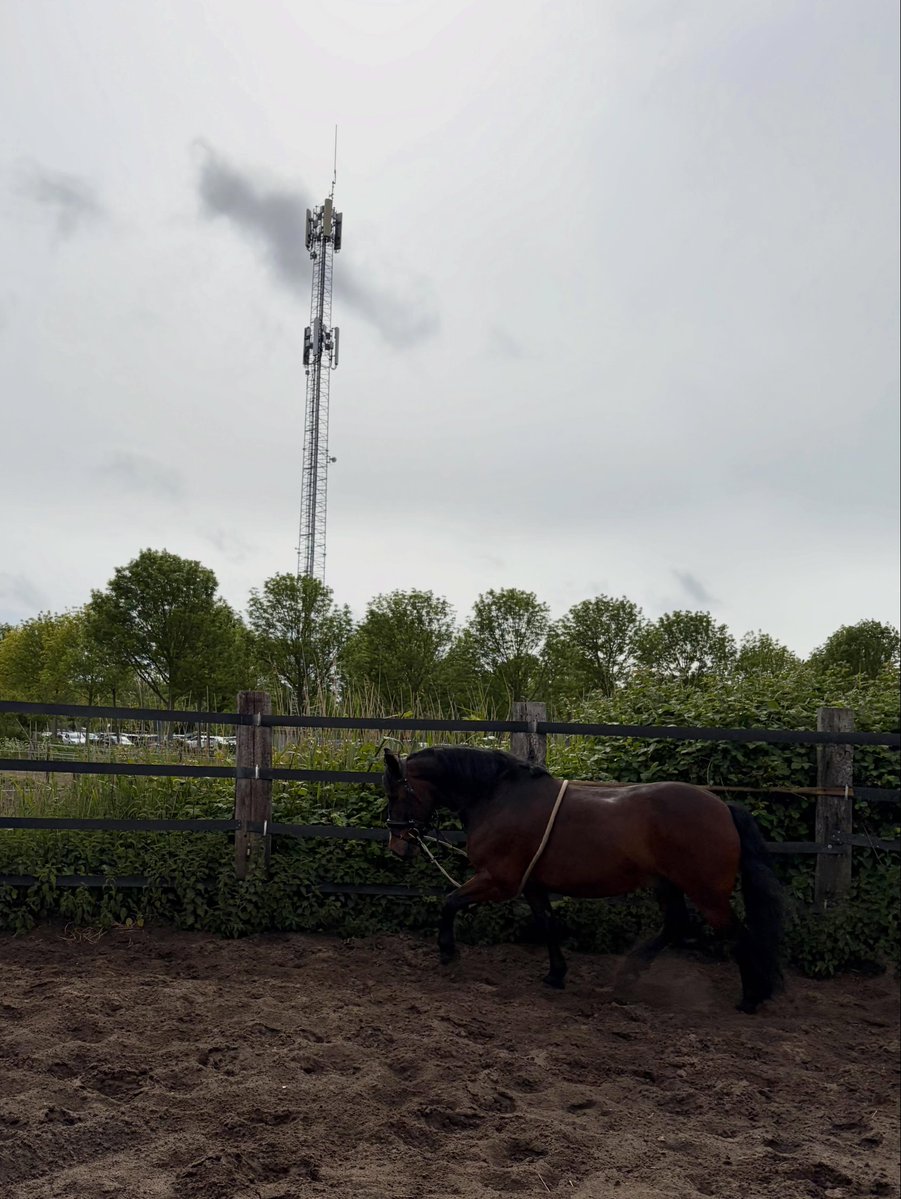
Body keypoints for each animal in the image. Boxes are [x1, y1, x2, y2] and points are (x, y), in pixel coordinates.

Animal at [383, 745, 784, 1013]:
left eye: (397, 791)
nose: (398, 846)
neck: (499, 798)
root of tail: (723, 807)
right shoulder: (531, 884)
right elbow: (548, 924)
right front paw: (555, 975)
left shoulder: (500, 880)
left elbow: (449, 902)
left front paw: (448, 952)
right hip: (667, 884)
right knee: (675, 925)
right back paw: (628, 975)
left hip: (707, 894)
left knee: (739, 936)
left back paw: (751, 998)